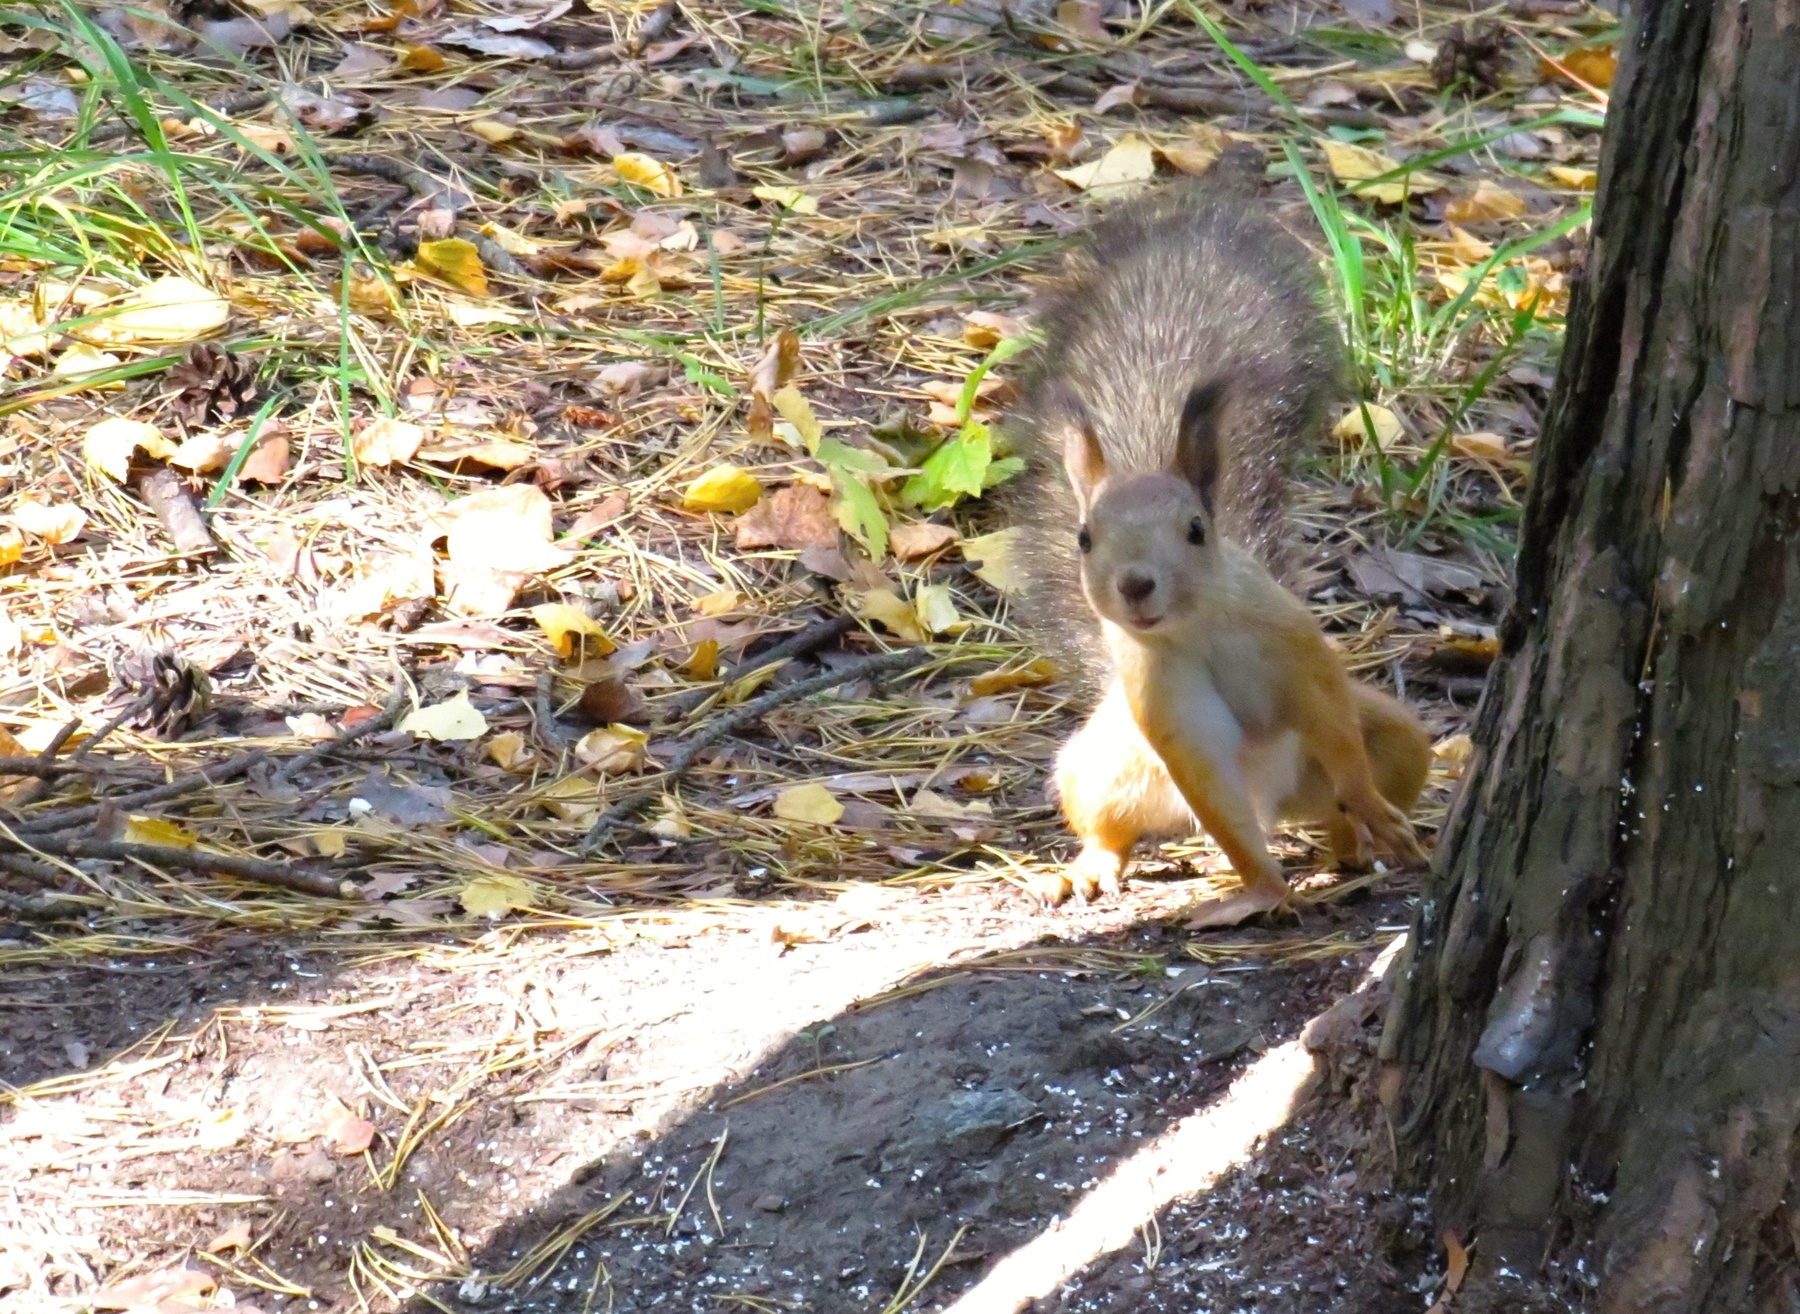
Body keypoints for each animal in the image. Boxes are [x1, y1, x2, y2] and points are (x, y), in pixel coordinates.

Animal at [1008, 172, 1431, 921]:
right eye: (1084, 539)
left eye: (1196, 530)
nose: (1135, 584)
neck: (1196, 629)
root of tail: (1282, 804)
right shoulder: (1167, 706)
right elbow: (1218, 803)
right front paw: (1260, 892)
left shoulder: (1296, 650)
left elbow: (1333, 725)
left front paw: (1370, 813)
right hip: (1103, 763)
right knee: (1111, 822)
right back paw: (1088, 867)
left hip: (1393, 741)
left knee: (1348, 793)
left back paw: (1356, 838)